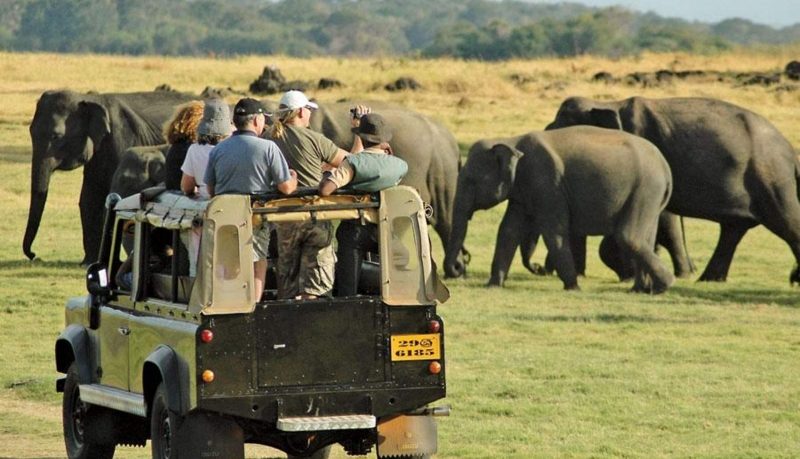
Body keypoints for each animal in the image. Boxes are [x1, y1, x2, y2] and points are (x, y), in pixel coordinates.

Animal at [24, 89, 196, 266]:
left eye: (56, 136)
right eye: (30, 131)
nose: (33, 255)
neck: (89, 99)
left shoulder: (122, 138)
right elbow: (89, 197)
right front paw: (88, 263)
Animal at [444, 137, 692, 280]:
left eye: (470, 181)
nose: (459, 269)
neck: (510, 139)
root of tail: (666, 168)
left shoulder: (547, 182)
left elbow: (554, 232)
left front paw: (573, 286)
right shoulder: (523, 190)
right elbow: (508, 231)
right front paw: (494, 285)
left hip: (644, 190)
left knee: (629, 236)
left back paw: (665, 283)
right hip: (650, 197)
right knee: (645, 238)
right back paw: (644, 289)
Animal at [548, 96, 800, 284]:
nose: (543, 269)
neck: (609, 103)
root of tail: (790, 150)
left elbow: (664, 218)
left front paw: (631, 272)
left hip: (771, 178)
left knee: (785, 221)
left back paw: (793, 278)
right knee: (733, 229)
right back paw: (708, 279)